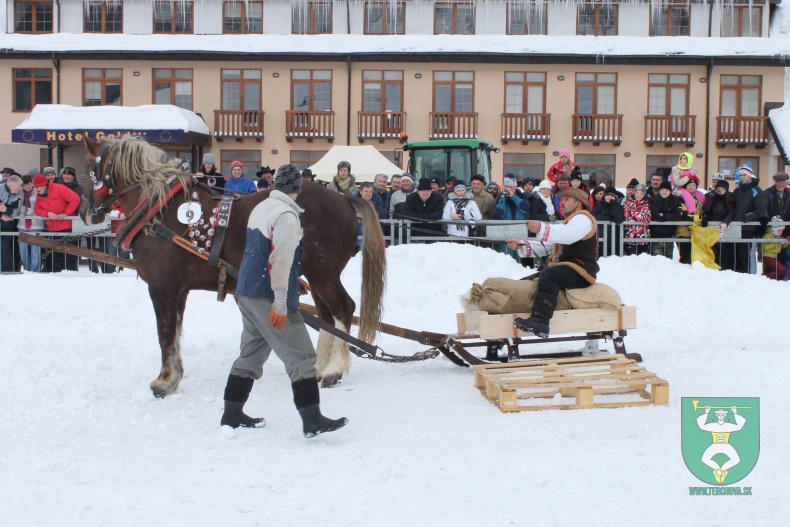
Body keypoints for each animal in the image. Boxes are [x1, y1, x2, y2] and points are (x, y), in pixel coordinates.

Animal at [79, 136, 388, 396]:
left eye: (89, 171)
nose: (85, 213)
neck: (160, 211)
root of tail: (344, 199)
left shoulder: (162, 287)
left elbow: (165, 333)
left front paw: (164, 381)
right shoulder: (178, 290)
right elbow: (176, 332)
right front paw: (175, 376)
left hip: (324, 274)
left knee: (343, 309)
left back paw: (335, 370)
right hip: (314, 276)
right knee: (327, 316)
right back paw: (320, 368)